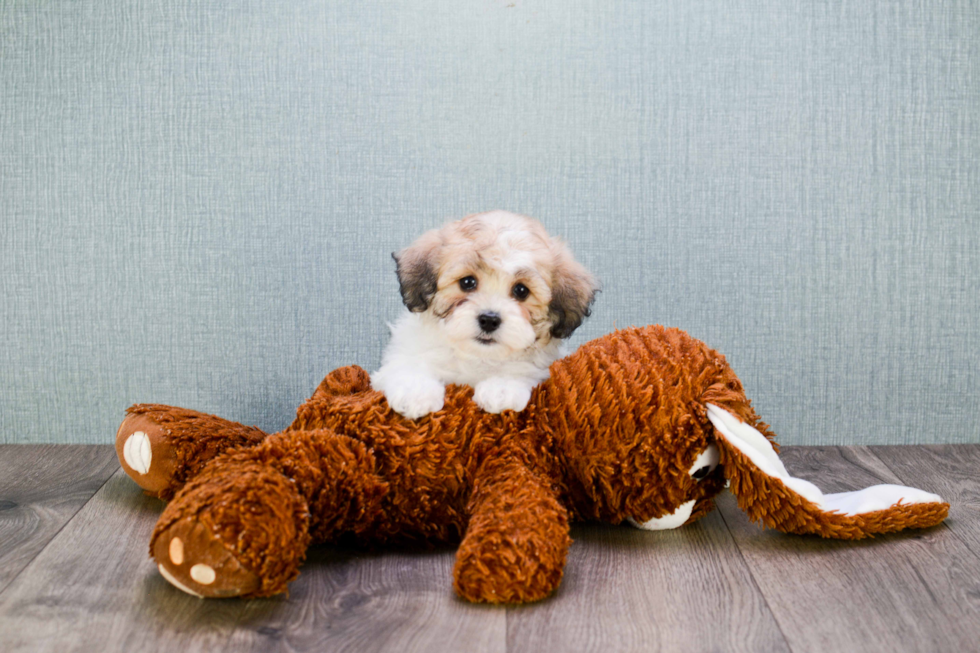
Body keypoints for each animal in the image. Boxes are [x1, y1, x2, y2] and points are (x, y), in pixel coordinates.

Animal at [374, 211, 596, 420]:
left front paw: (502, 388)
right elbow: (407, 365)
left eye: (521, 291)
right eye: (467, 282)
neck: (477, 356)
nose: (489, 320)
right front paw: (415, 392)